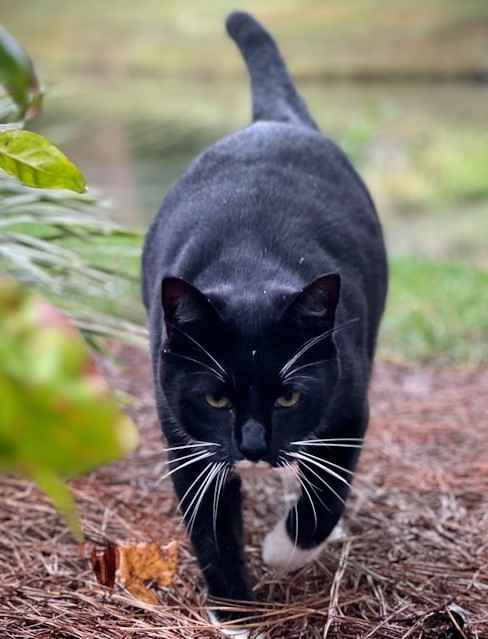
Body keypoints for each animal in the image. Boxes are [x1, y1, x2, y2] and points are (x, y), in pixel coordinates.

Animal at [140, 7, 386, 632]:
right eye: (217, 398)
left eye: (290, 397)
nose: (252, 445)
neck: (250, 264)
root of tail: (273, 121)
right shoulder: (181, 429)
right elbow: (211, 525)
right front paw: (235, 613)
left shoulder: (349, 403)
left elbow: (324, 497)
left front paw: (283, 550)